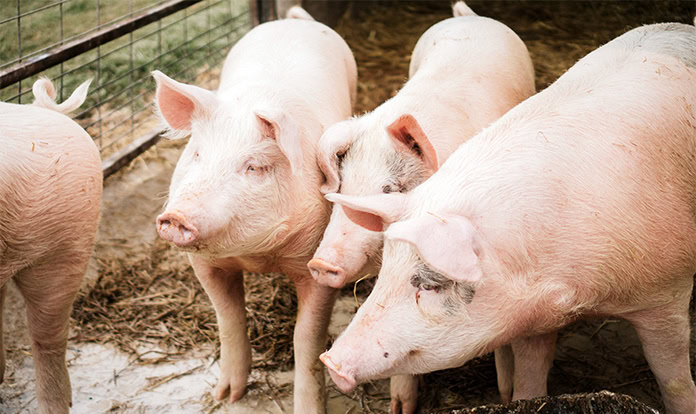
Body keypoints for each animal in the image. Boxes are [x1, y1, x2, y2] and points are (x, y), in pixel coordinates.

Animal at [153, 6, 356, 413]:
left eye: (255, 167)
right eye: (196, 154)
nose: (175, 217)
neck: (258, 256)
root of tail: (292, 19)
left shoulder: (319, 265)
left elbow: (307, 339)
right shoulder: (204, 264)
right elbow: (228, 319)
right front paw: (227, 396)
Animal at [307, 2, 535, 411]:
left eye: (389, 188)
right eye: (343, 186)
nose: (319, 264)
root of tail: (468, 16)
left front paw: (507, 393)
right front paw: (400, 406)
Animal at [320, 22, 696, 414]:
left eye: (431, 284)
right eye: (385, 275)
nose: (330, 360)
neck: (576, 294)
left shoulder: (667, 292)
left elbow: (674, 381)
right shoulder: (533, 319)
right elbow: (529, 382)